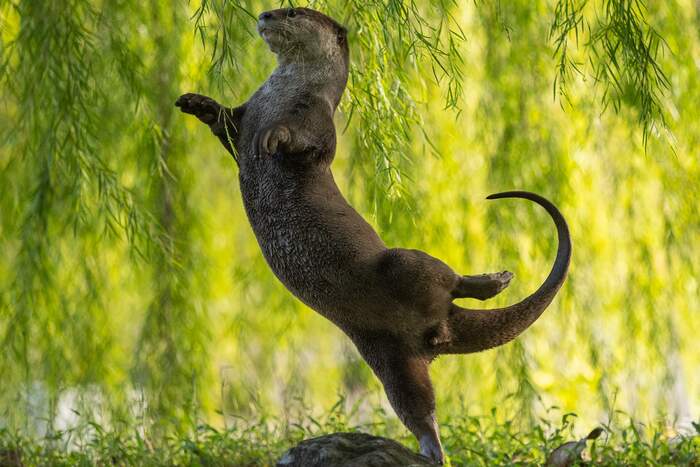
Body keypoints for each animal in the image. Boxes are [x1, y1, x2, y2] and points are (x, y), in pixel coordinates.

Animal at [176, 7, 571, 464]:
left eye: (293, 10)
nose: (265, 14)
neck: (282, 94)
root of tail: (442, 325)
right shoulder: (247, 113)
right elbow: (225, 124)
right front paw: (196, 103)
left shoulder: (317, 121)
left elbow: (302, 142)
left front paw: (273, 136)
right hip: (389, 356)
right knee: (418, 406)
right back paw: (430, 451)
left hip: (402, 264)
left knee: (448, 278)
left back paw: (494, 281)